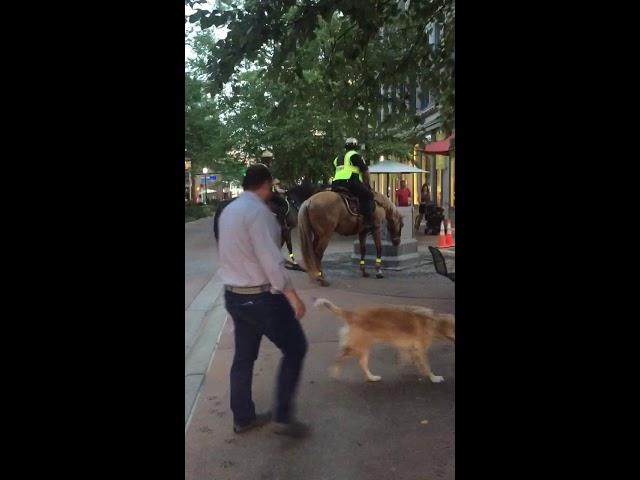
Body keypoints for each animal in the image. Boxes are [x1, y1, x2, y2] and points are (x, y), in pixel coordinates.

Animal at [312, 296, 452, 382]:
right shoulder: (421, 350)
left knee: (362, 363)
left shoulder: (410, 348)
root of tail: (352, 314)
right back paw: (334, 372)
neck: (434, 322)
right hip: (356, 346)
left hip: (364, 348)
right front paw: (433, 378)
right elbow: (427, 366)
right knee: (339, 358)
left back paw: (371, 377)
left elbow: (408, 359)